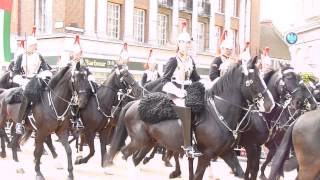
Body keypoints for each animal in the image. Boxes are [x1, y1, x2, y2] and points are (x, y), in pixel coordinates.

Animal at [104, 57, 274, 179]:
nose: (270, 104)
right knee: (126, 154)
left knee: (134, 158)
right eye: (254, 79)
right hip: (139, 140)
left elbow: (241, 173)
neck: (219, 112)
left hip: (149, 141)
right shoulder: (206, 155)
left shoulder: (227, 153)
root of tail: (134, 103)